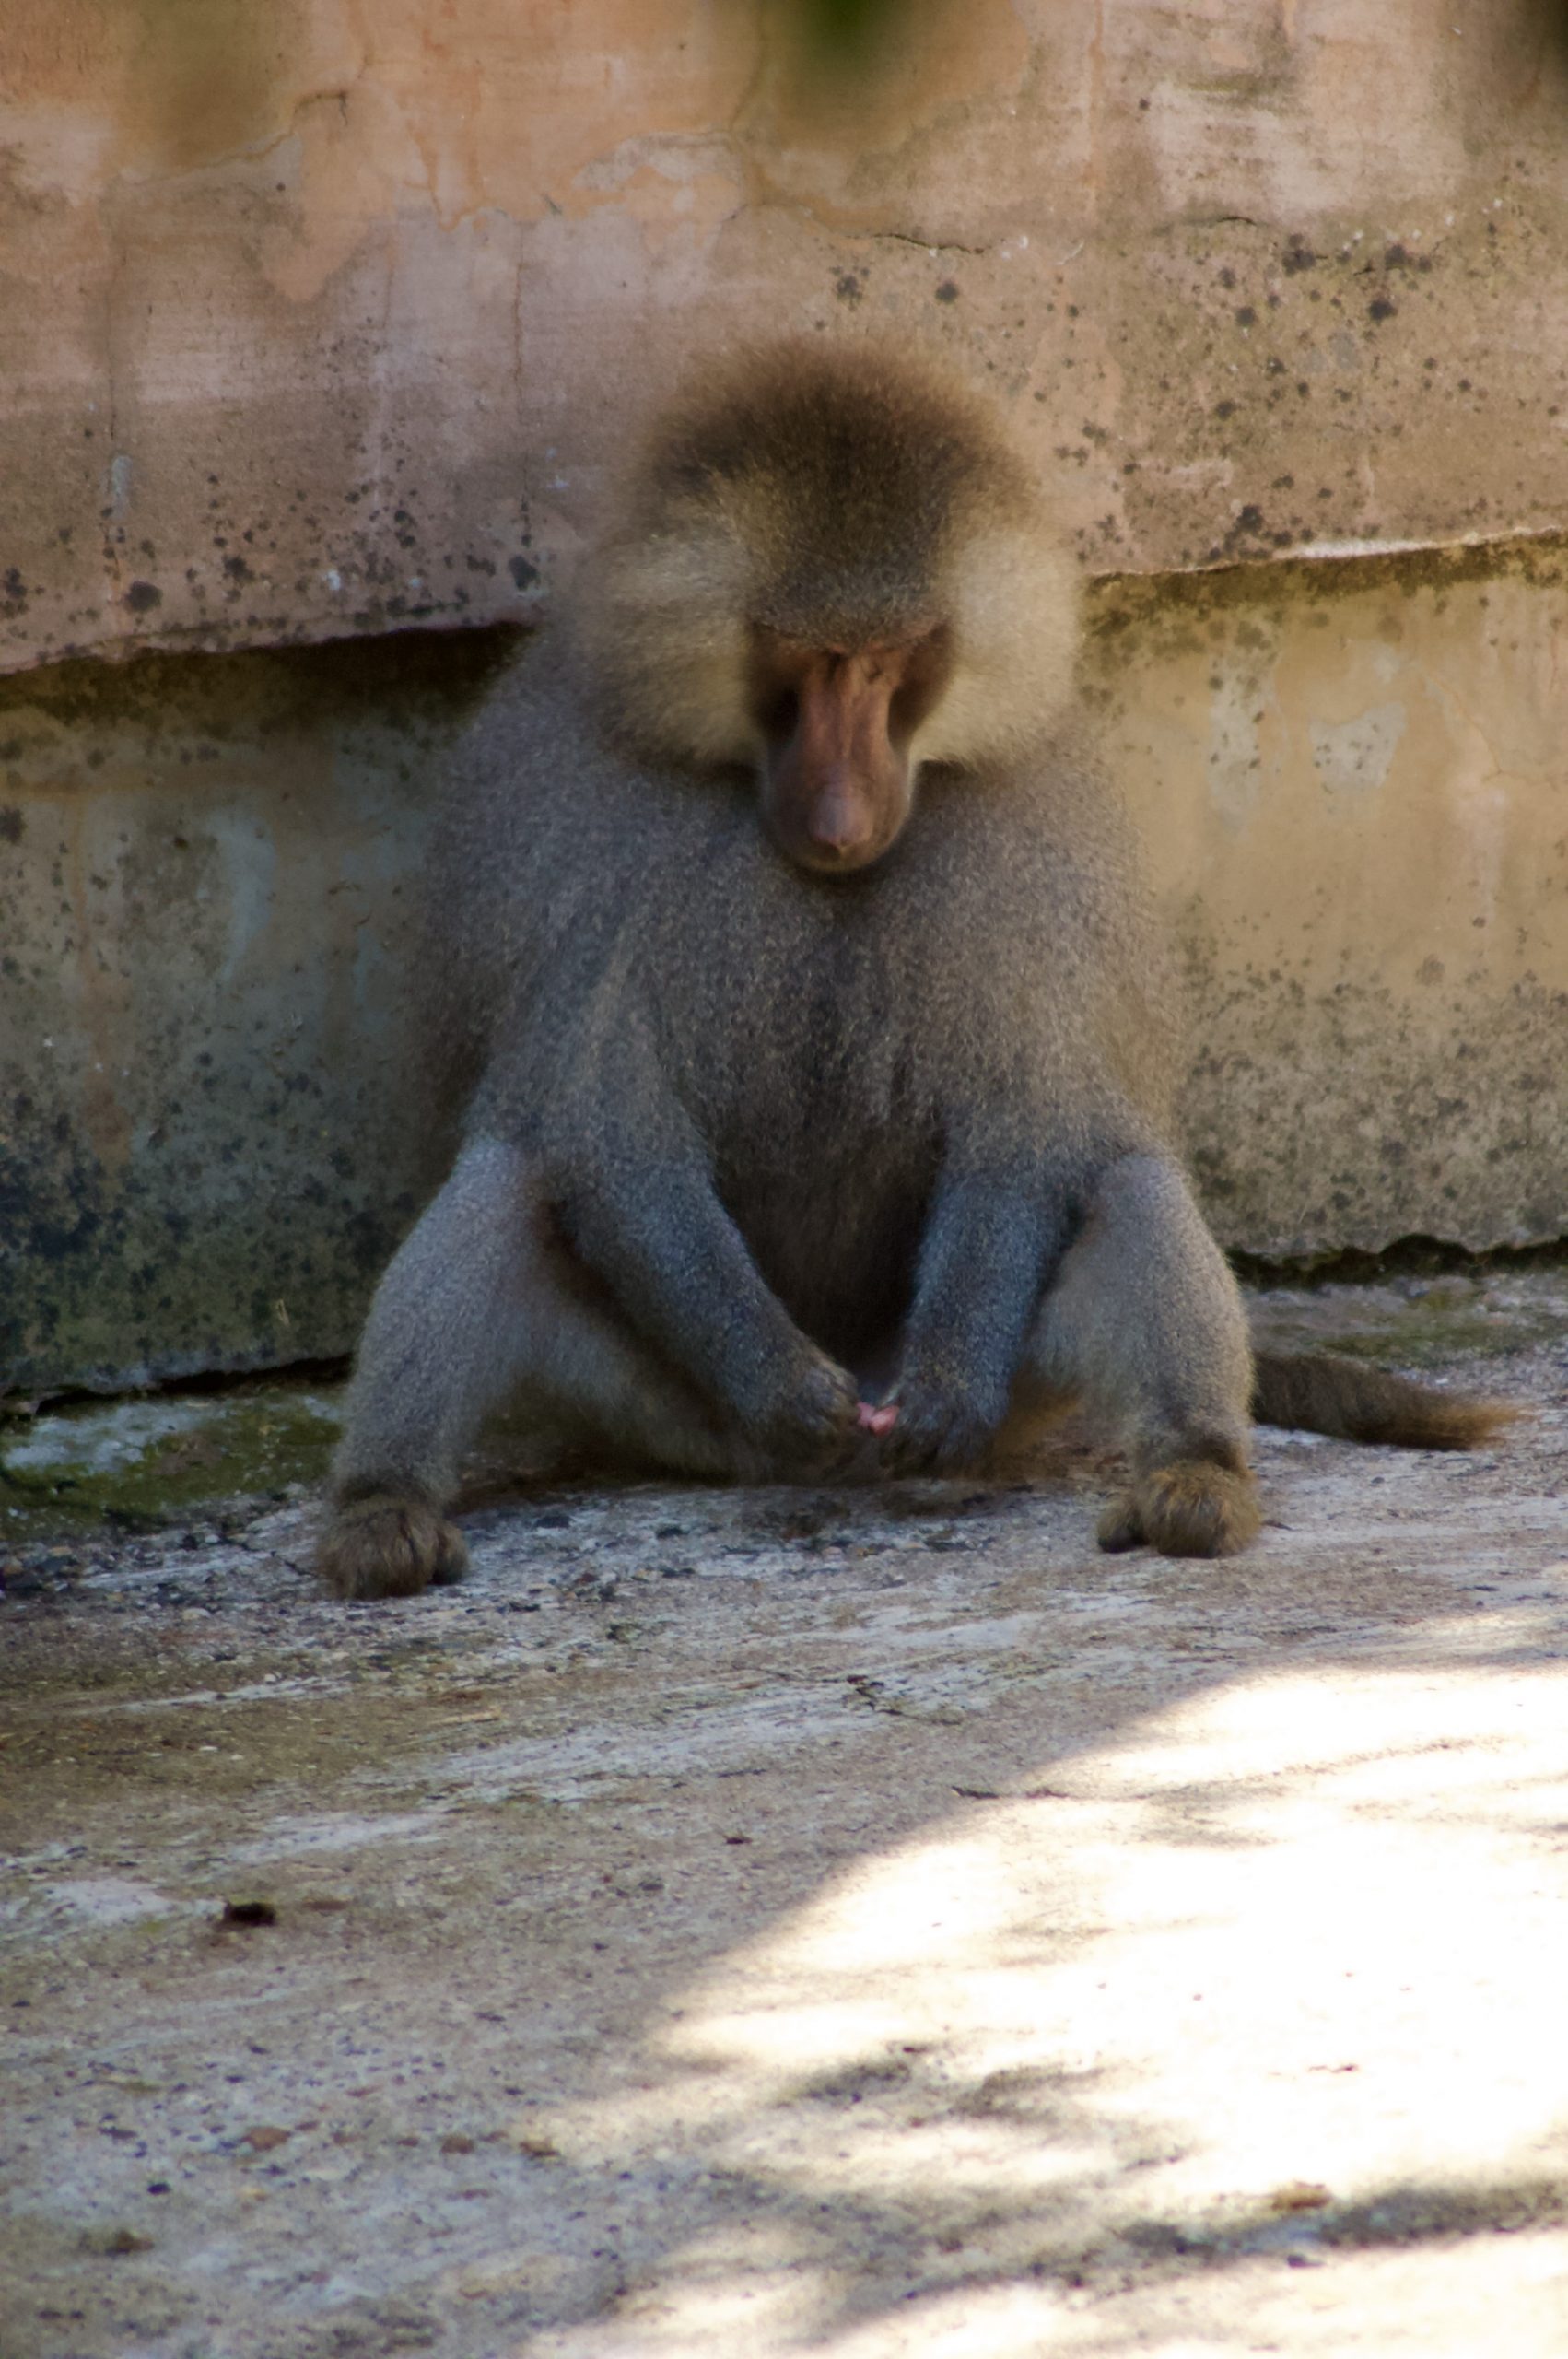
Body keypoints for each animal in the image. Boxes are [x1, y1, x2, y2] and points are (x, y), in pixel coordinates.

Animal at [317, 341, 1507, 1600]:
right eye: (804, 664)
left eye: (888, 664)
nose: (842, 818)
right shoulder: (589, 848)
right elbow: (605, 1131)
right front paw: (779, 1382)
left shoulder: (1021, 862)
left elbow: (1029, 1125)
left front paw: (951, 1387)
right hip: (671, 1413)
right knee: (501, 1189)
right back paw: (383, 1510)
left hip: (1023, 1394)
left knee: (1125, 1178)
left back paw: (1194, 1480)